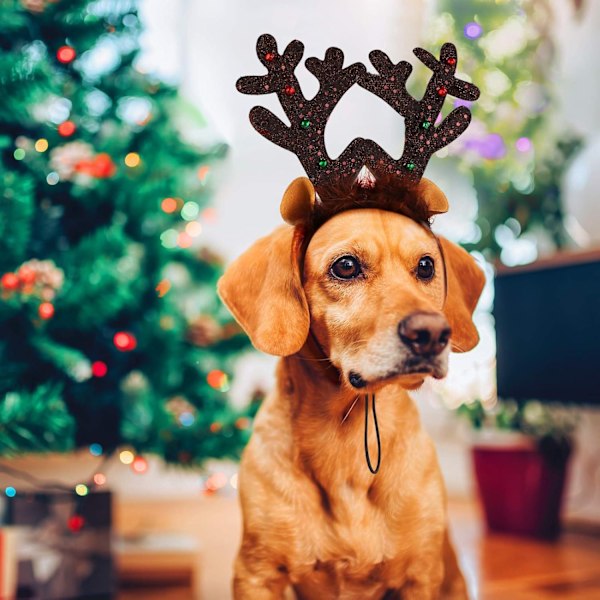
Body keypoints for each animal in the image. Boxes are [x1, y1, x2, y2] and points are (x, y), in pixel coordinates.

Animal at [218, 175, 486, 600]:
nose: (432, 334)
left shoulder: (420, 576)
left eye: (426, 266)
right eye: (346, 266)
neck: (345, 440)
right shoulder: (256, 574)